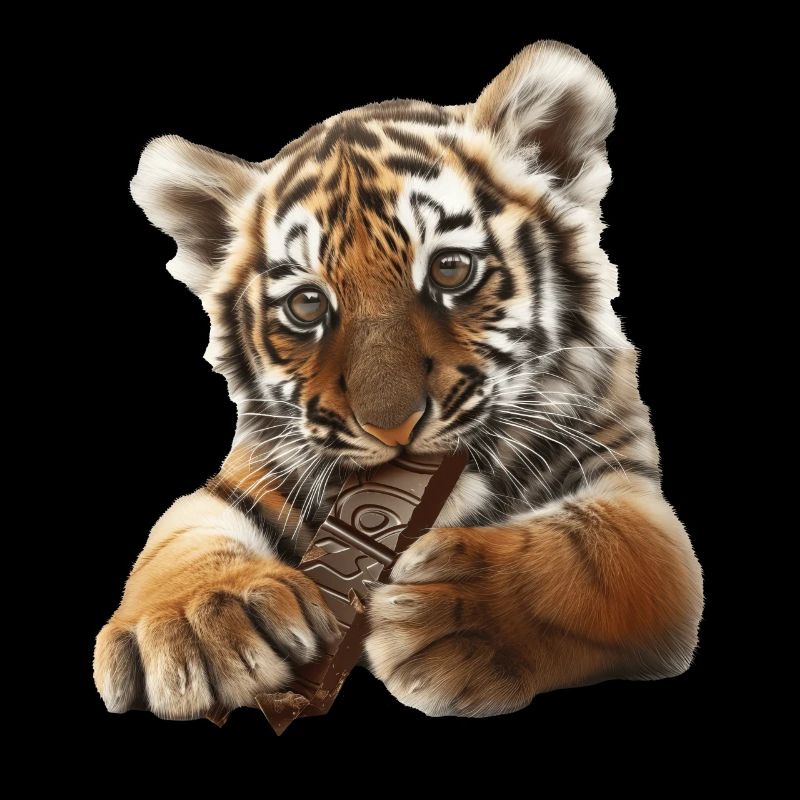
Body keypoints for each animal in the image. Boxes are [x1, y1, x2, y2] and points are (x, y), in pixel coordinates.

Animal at [94, 40, 703, 721]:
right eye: (307, 304)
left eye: (450, 269)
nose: (393, 426)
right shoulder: (248, 476)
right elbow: (179, 534)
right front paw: (195, 622)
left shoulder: (634, 491)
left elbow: (604, 553)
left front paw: (453, 614)